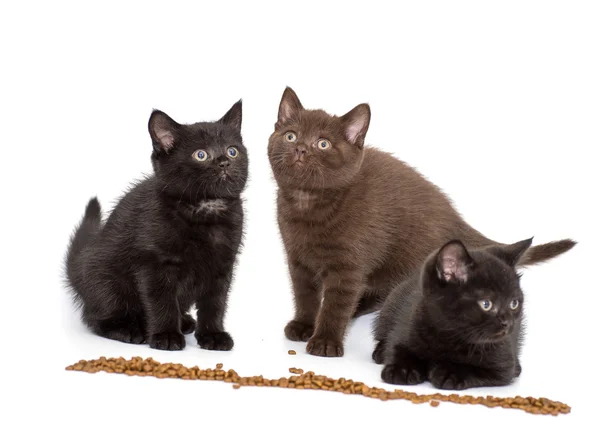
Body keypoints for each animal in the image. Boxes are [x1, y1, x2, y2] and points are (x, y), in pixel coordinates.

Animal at [67, 100, 250, 350]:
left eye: (232, 150)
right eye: (201, 155)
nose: (224, 162)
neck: (204, 210)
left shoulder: (223, 264)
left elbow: (215, 303)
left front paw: (213, 335)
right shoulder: (154, 264)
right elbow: (162, 301)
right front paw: (166, 336)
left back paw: (184, 322)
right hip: (107, 280)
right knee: (97, 317)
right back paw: (129, 329)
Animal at [268, 86, 576, 358]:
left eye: (323, 143)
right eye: (291, 136)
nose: (301, 150)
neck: (308, 203)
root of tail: (456, 219)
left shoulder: (348, 267)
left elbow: (336, 303)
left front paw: (325, 341)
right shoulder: (297, 259)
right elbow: (304, 294)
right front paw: (304, 325)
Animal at [370, 237, 536, 390]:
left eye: (514, 303)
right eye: (486, 304)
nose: (507, 322)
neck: (449, 335)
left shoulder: (503, 366)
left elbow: (475, 369)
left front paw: (450, 373)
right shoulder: (406, 324)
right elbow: (397, 348)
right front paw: (403, 369)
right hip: (391, 304)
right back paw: (380, 351)